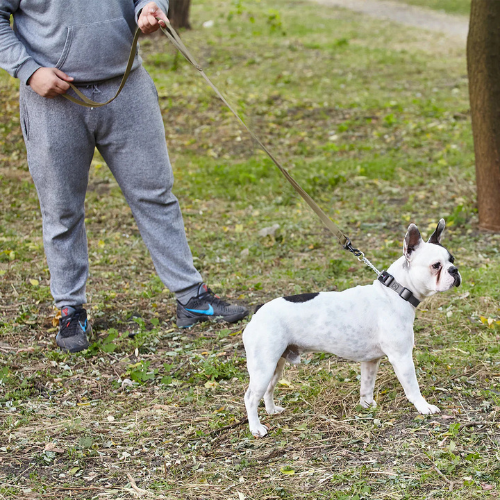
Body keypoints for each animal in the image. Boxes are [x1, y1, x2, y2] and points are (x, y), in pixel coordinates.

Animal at [242, 221, 460, 436]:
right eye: (436, 266)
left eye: (452, 260)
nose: (455, 270)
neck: (396, 292)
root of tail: (258, 311)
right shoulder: (402, 358)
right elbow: (412, 387)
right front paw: (424, 407)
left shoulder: (371, 361)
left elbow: (367, 385)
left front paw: (367, 406)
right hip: (263, 367)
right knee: (250, 397)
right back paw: (256, 428)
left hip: (275, 366)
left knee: (268, 390)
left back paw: (272, 410)